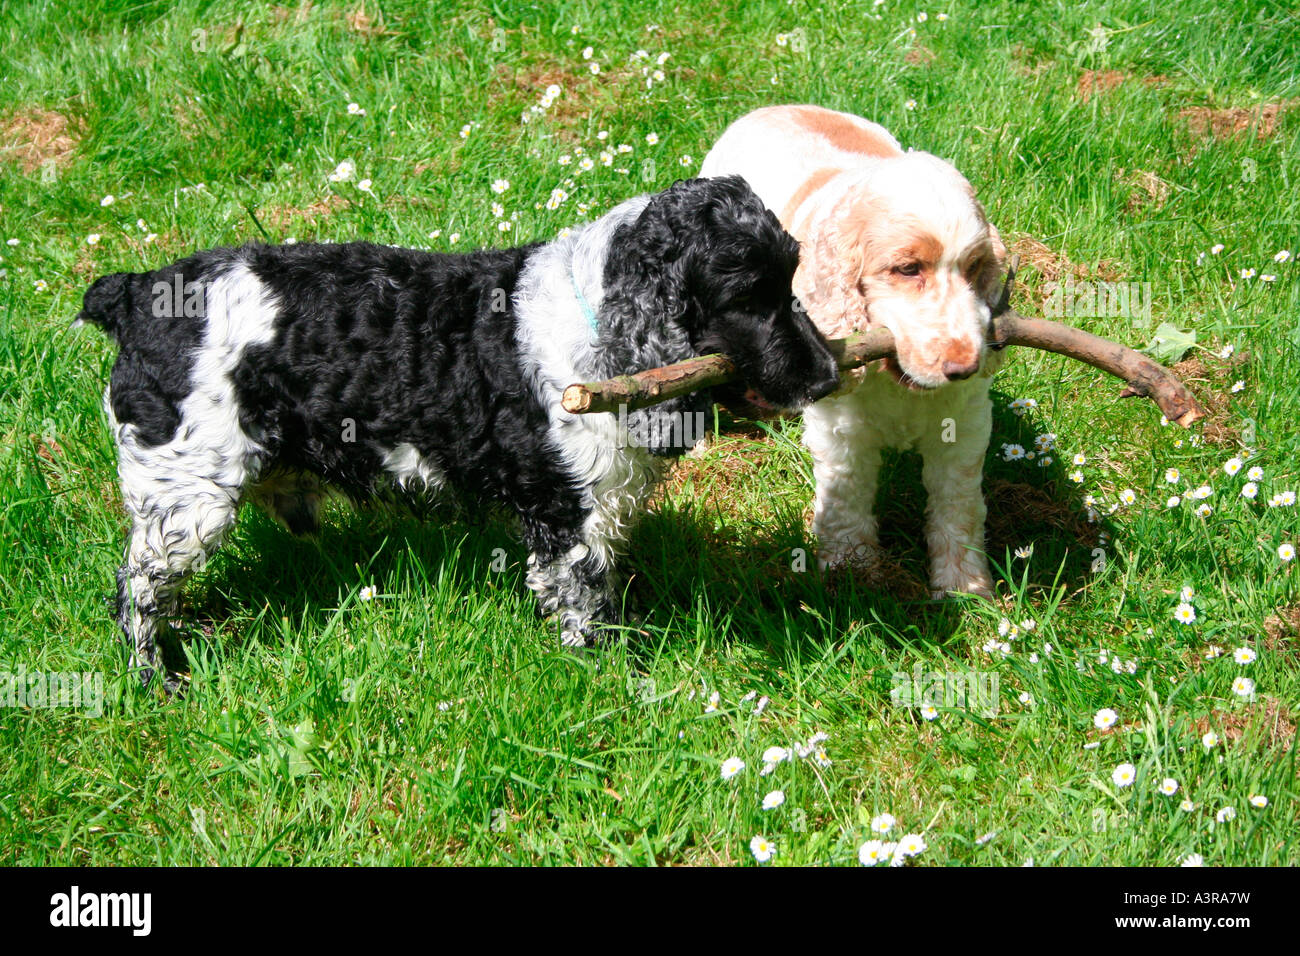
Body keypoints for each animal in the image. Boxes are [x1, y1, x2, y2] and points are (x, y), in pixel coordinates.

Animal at [81, 178, 837, 686]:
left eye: (793, 277)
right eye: (747, 297)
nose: (829, 375)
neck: (597, 317)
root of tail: (135, 294)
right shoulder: (567, 514)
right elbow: (583, 602)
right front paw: (610, 674)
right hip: (186, 498)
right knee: (136, 590)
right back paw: (157, 678)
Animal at [707, 106, 1008, 598]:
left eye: (976, 268)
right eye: (908, 269)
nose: (965, 367)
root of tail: (774, 107)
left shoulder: (964, 425)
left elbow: (958, 504)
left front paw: (964, 587)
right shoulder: (841, 433)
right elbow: (846, 497)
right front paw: (854, 573)